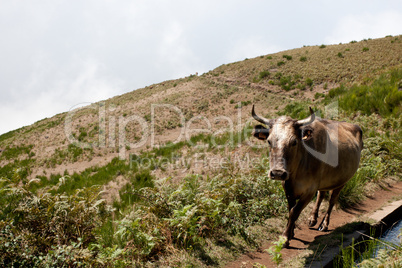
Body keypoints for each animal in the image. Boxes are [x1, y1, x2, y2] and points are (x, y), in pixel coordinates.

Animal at [250, 104, 362, 247]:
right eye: (269, 141)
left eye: (294, 142)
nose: (278, 173)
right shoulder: (288, 188)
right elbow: (290, 209)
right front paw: (291, 232)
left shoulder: (309, 191)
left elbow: (294, 212)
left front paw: (285, 237)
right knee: (321, 194)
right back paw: (312, 219)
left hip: (342, 182)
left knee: (332, 201)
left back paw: (324, 224)